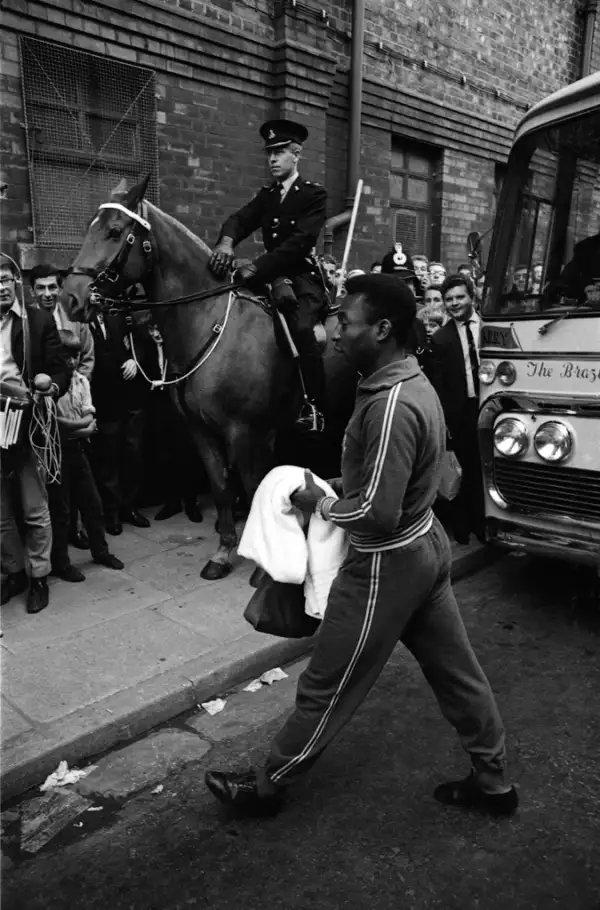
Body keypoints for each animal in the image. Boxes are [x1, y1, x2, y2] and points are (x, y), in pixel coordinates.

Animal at [64, 175, 356, 580]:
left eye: (114, 231)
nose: (71, 298)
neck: (209, 321)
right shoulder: (203, 430)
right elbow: (221, 488)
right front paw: (223, 552)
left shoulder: (244, 432)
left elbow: (254, 488)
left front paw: (261, 564)